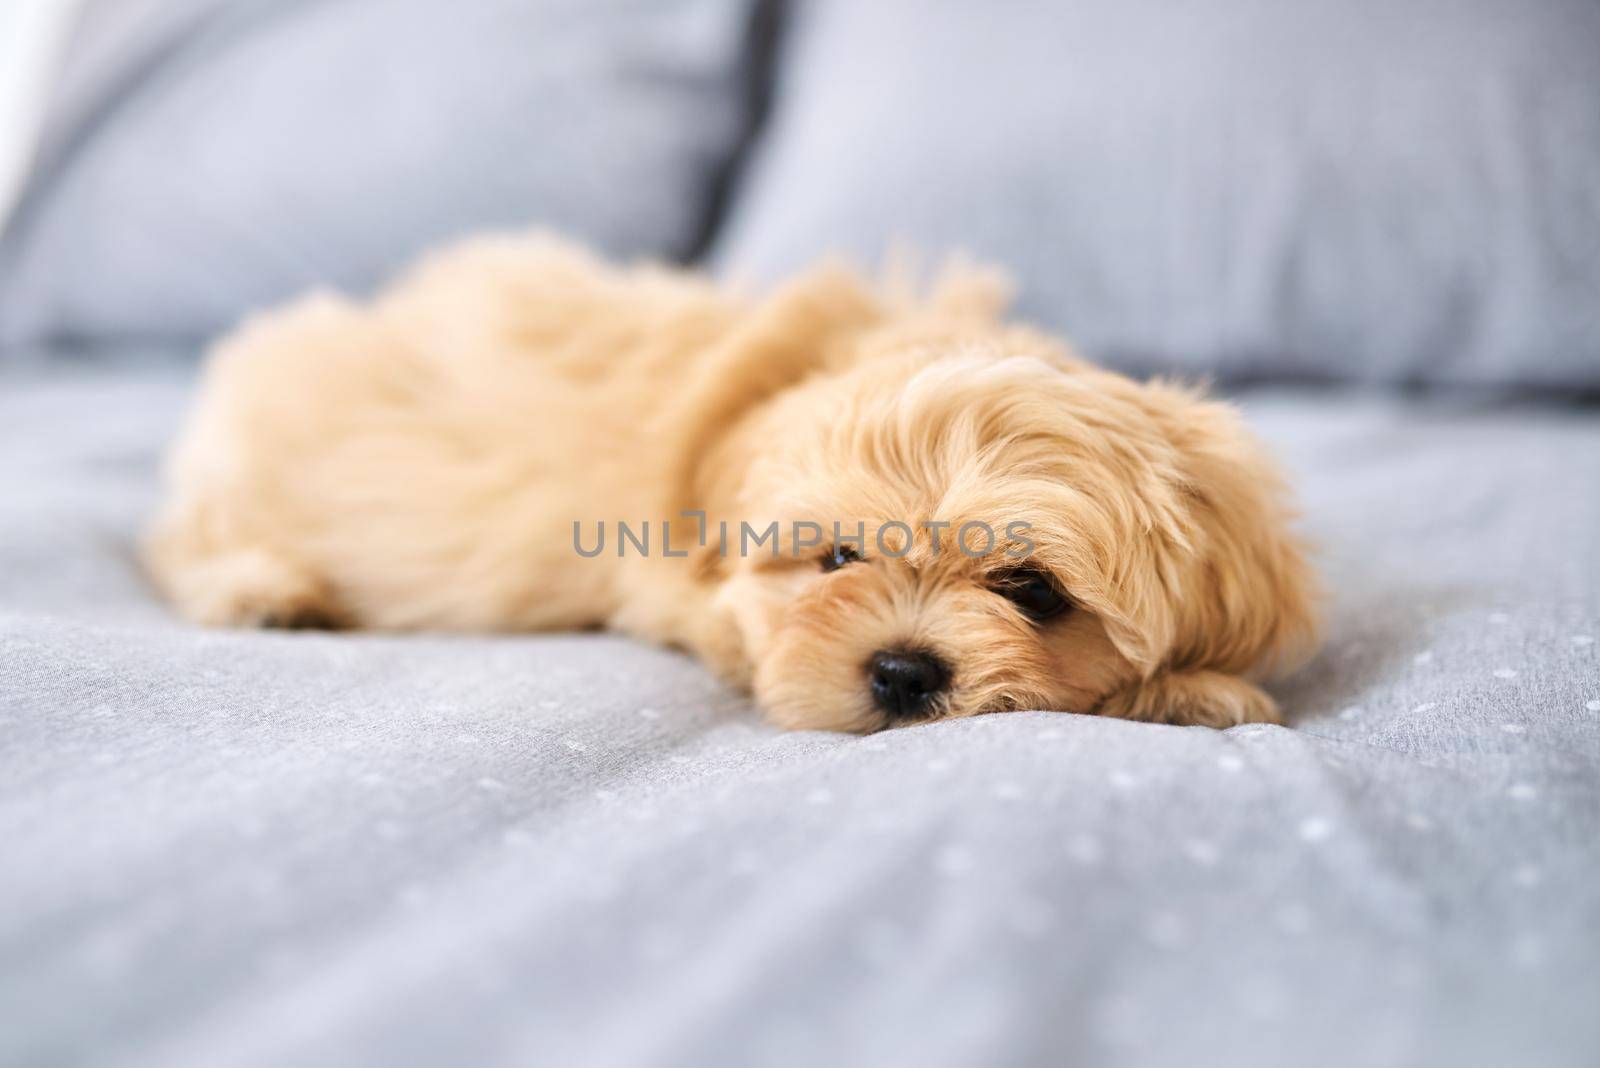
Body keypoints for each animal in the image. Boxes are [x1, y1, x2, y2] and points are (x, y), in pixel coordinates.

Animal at [144, 233, 1318, 735]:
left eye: (1032, 591)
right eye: (835, 557)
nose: (903, 671)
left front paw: (1182, 685)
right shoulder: (680, 588)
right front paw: (1180, 691)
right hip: (249, 457)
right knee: (177, 542)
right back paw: (262, 588)